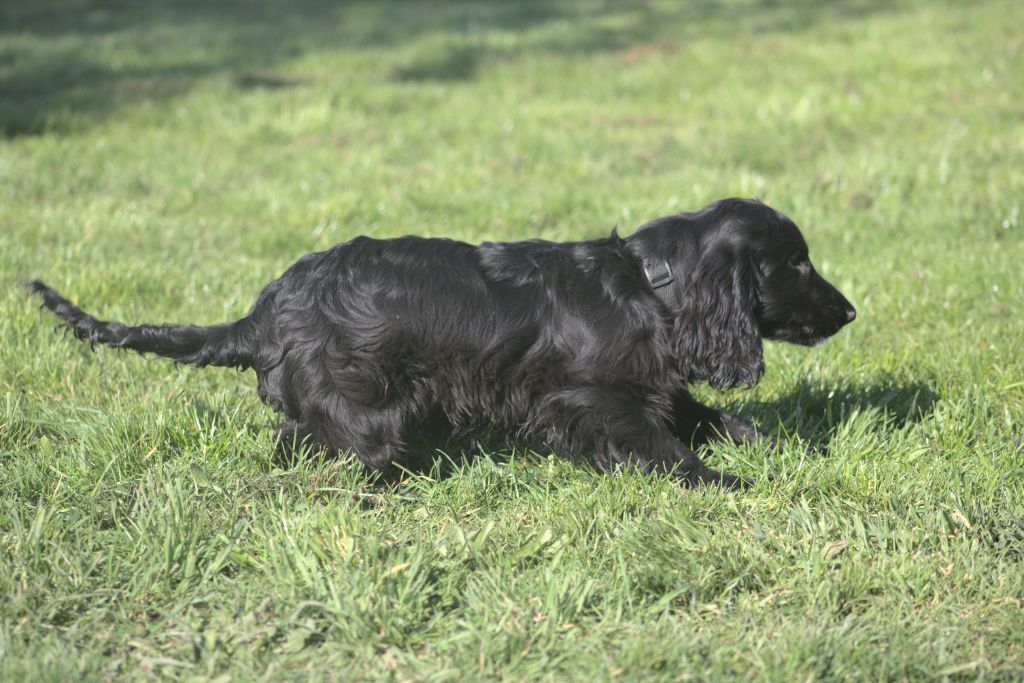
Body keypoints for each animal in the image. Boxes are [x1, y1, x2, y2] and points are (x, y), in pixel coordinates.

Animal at [29, 200, 856, 489]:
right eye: (796, 262)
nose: (850, 311)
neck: (650, 286)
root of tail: (261, 315)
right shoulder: (592, 398)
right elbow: (665, 448)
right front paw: (726, 484)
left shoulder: (657, 386)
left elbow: (724, 420)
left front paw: (785, 448)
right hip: (365, 413)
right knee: (318, 450)